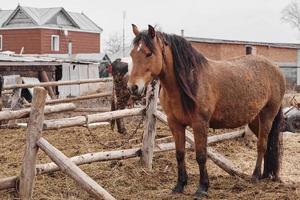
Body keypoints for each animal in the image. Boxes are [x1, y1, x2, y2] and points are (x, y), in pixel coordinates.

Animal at [127, 24, 288, 198]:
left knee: (262, 145)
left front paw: (202, 188)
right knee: (267, 144)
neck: (189, 83)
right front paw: (179, 185)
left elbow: (201, 156)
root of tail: (276, 69)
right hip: (254, 120)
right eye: (132, 54)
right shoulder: (175, 124)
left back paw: (255, 176)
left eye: (148, 53)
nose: (133, 87)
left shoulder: (200, 124)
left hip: (267, 115)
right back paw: (266, 175)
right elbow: (180, 154)